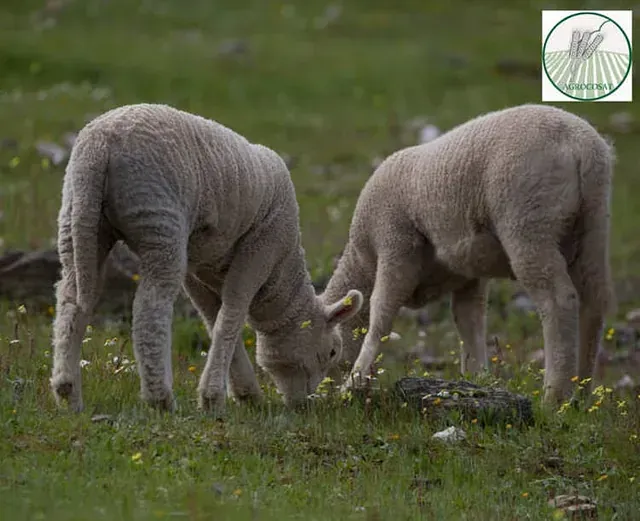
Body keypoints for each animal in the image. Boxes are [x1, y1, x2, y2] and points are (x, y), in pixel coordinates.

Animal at [50, 103, 363, 415]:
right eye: (332, 352)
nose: (305, 405)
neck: (280, 277)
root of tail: (99, 146)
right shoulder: (261, 247)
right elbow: (232, 315)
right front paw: (214, 397)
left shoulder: (197, 268)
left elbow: (214, 319)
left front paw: (245, 393)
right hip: (158, 216)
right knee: (150, 308)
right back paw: (160, 398)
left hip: (77, 214)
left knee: (71, 298)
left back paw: (68, 393)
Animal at [320, 103, 615, 407]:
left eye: (331, 351)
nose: (315, 395)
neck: (362, 259)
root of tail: (580, 143)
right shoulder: (468, 276)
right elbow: (469, 323)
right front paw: (477, 380)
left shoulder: (395, 242)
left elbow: (381, 315)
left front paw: (352, 383)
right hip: (592, 223)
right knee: (595, 302)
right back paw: (581, 391)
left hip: (528, 219)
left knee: (559, 300)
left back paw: (554, 397)